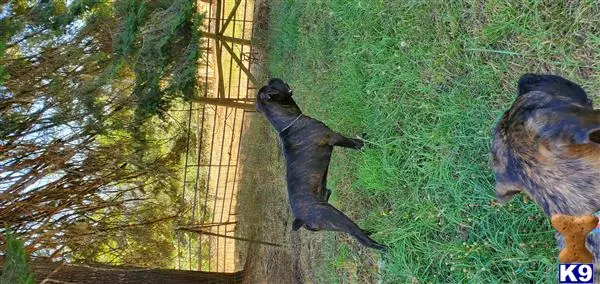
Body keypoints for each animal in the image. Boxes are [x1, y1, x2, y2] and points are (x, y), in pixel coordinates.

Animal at [255, 78, 386, 251]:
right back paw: (386, 247)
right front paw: (371, 145)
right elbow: (354, 143)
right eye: (272, 85)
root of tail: (301, 220)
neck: (288, 122)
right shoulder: (334, 137)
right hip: (334, 216)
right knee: (361, 238)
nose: (272, 78)